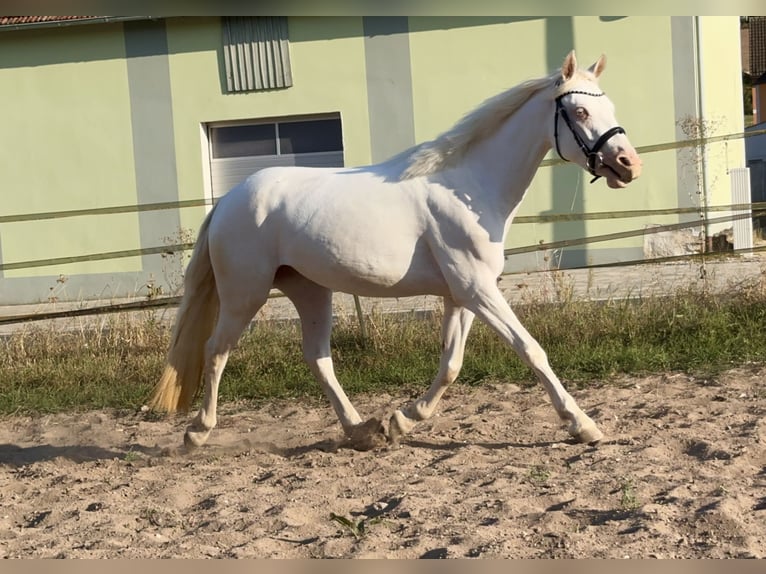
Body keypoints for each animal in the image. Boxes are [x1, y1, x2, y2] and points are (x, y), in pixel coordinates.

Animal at [148, 51, 640, 452]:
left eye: (611, 108)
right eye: (580, 110)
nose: (628, 164)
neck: (469, 186)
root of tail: (229, 200)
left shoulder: (462, 296)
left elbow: (451, 364)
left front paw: (401, 421)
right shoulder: (478, 290)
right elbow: (531, 350)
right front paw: (583, 425)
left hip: (310, 291)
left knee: (317, 358)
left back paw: (363, 430)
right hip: (244, 293)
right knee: (216, 351)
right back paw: (197, 434)